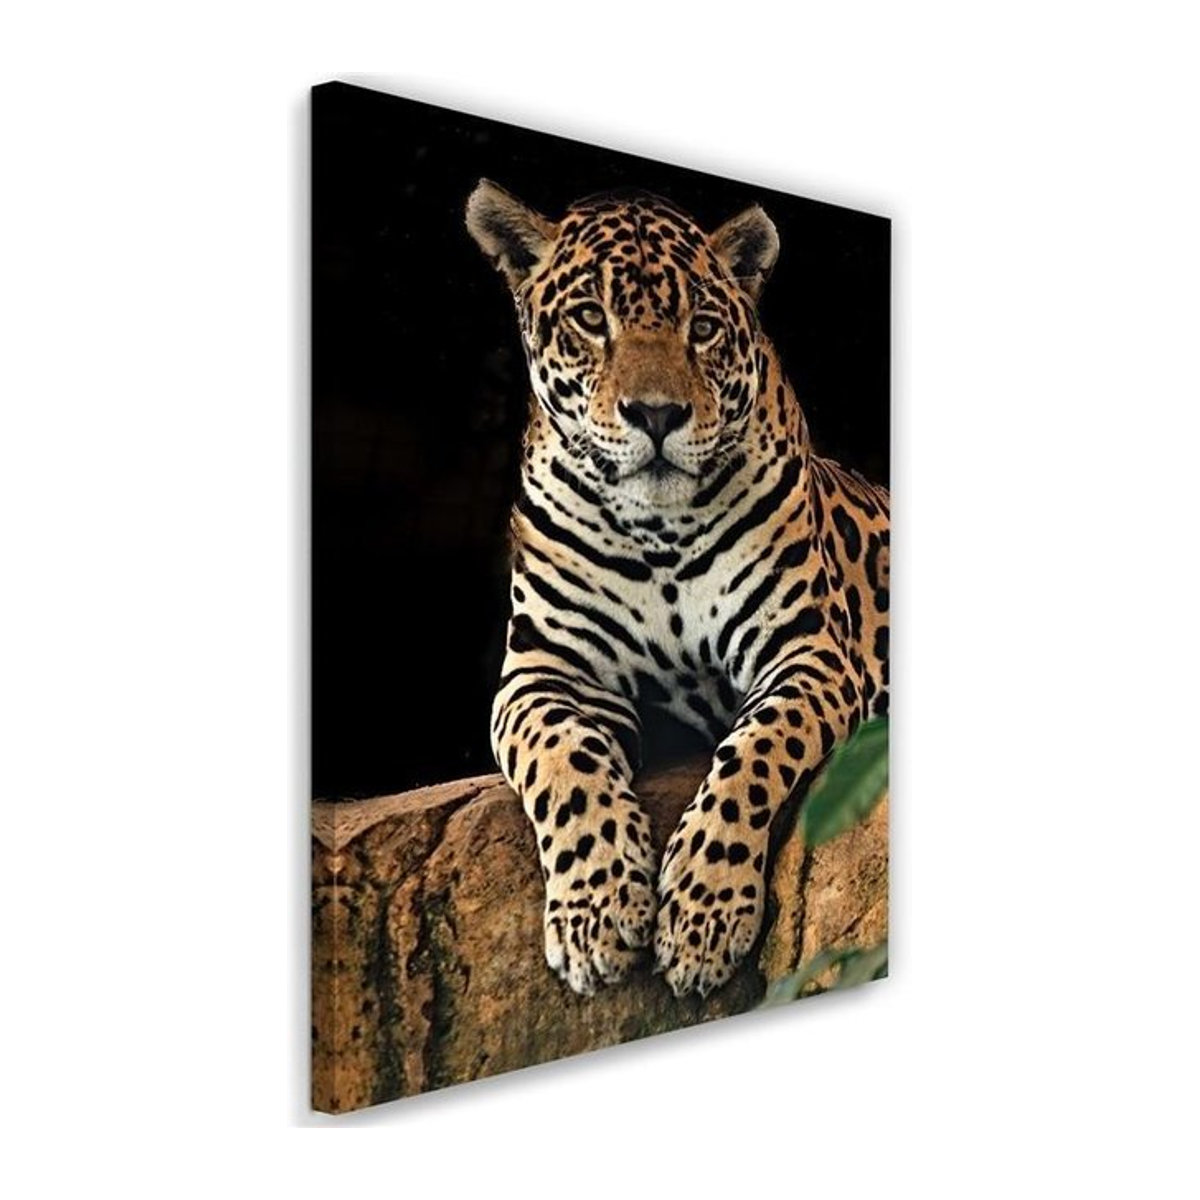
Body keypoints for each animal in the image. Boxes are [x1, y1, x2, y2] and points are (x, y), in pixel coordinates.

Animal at [465, 179, 889, 999]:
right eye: (591, 319)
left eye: (702, 329)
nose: (656, 415)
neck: (656, 531)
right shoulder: (545, 672)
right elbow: (562, 759)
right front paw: (596, 914)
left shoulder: (808, 651)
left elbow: (754, 752)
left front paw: (703, 911)